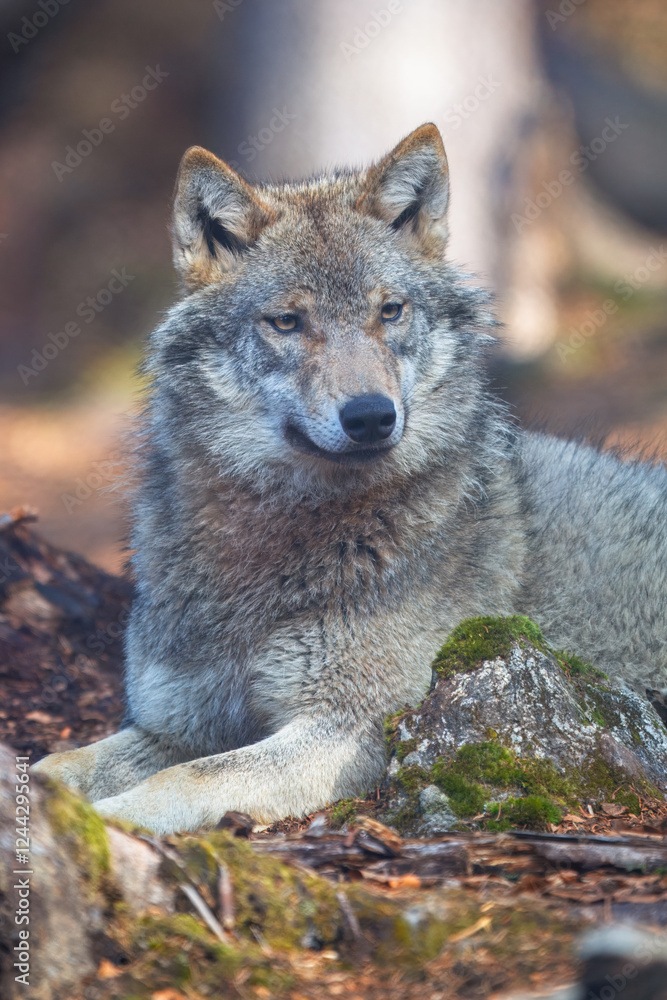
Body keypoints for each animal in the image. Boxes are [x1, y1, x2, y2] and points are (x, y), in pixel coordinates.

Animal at [34, 124, 667, 834]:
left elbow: (182, 781)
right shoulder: (176, 724)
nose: (370, 416)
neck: (272, 544)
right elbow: (58, 764)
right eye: (287, 321)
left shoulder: (351, 728)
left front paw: (101, 827)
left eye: (389, 311)